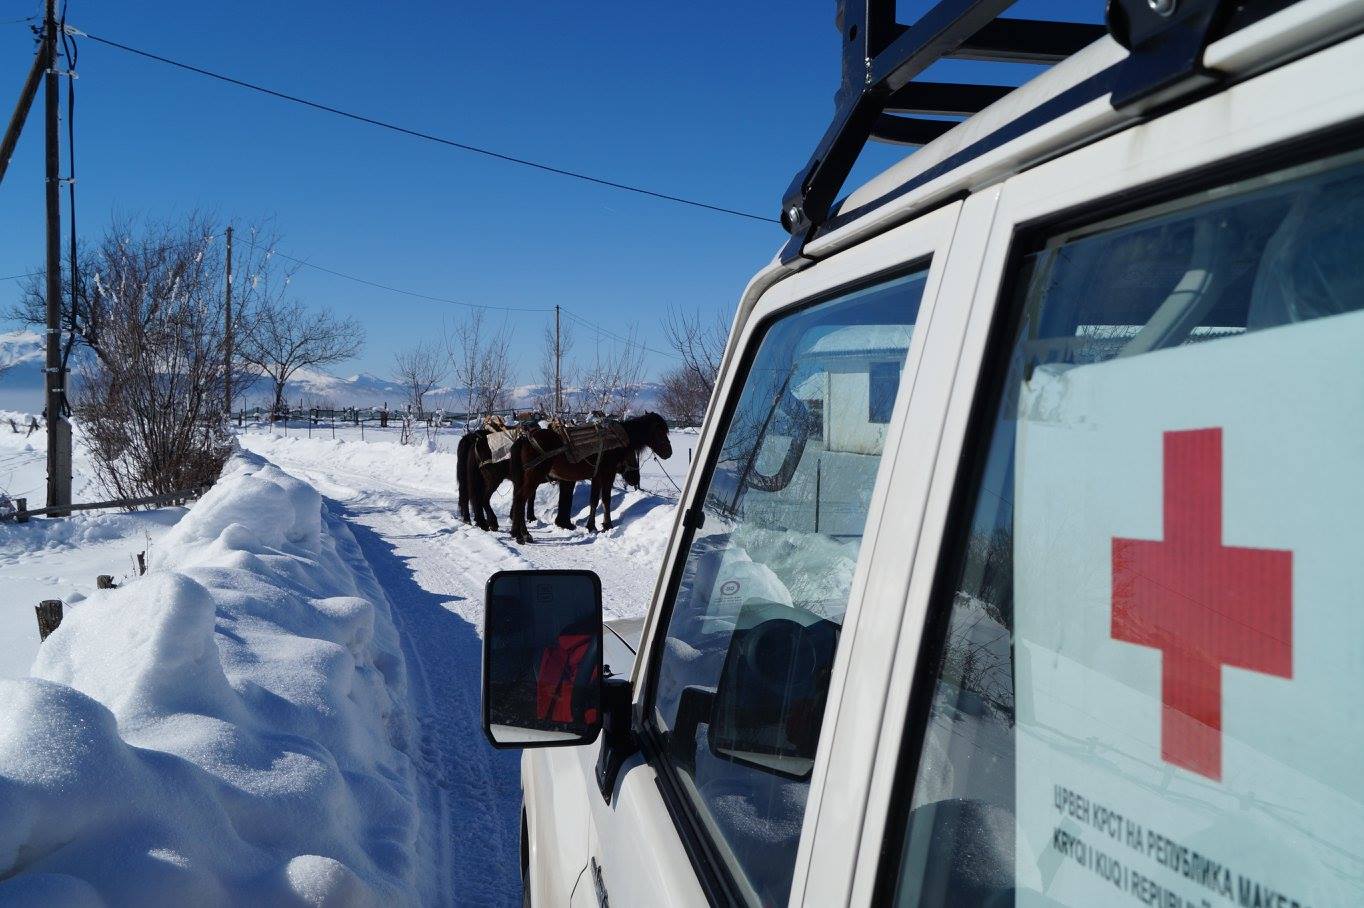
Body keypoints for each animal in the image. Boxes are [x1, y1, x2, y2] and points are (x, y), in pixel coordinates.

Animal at [507, 411, 671, 545]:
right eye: (659, 431)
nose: (669, 452)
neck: (617, 439)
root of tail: (524, 439)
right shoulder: (608, 473)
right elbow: (605, 499)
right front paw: (607, 525)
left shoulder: (596, 476)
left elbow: (594, 500)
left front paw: (591, 526)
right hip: (534, 475)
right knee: (521, 499)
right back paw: (523, 535)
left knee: (518, 499)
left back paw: (519, 533)